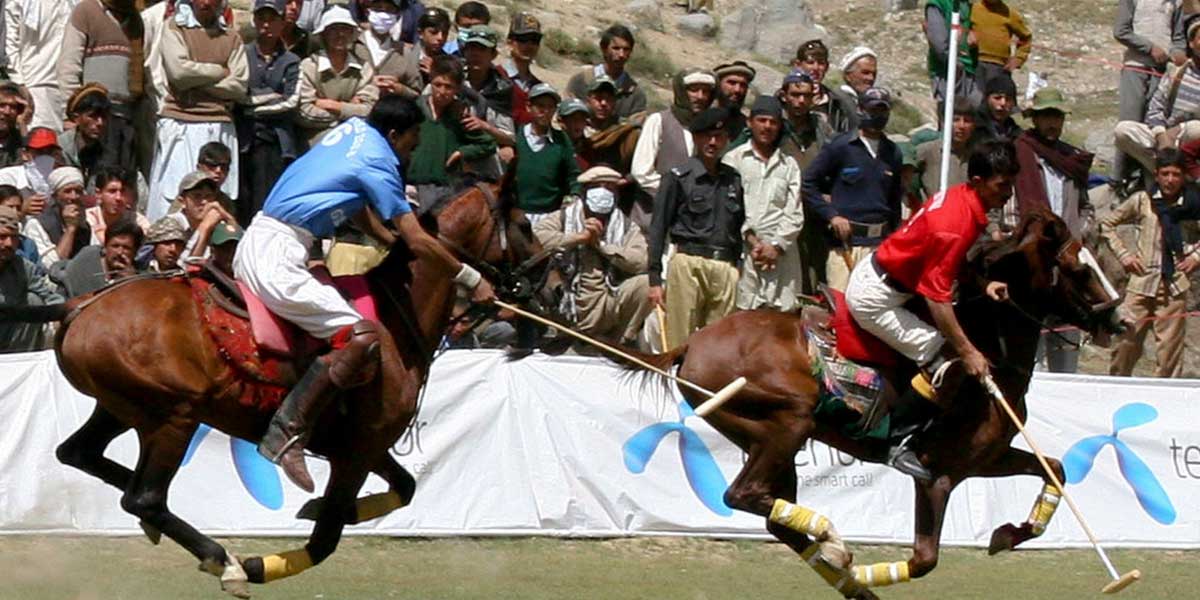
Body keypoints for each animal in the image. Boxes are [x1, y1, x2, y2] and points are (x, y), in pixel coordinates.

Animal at [21, 181, 544, 595]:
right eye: (523, 223)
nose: (547, 280)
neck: (400, 316)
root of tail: (79, 305)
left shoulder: (363, 445)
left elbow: (405, 487)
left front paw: (316, 508)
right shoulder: (358, 451)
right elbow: (327, 537)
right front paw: (258, 563)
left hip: (121, 407)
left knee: (81, 455)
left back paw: (159, 528)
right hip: (175, 415)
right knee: (144, 496)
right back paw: (223, 559)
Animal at [619, 208, 1123, 597]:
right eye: (1079, 270)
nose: (1117, 321)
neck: (989, 352)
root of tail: (691, 343)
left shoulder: (983, 461)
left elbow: (1054, 469)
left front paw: (1007, 534)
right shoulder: (937, 476)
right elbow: (924, 559)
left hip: (767, 440)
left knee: (772, 515)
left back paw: (840, 564)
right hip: (789, 421)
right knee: (742, 495)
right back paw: (837, 546)